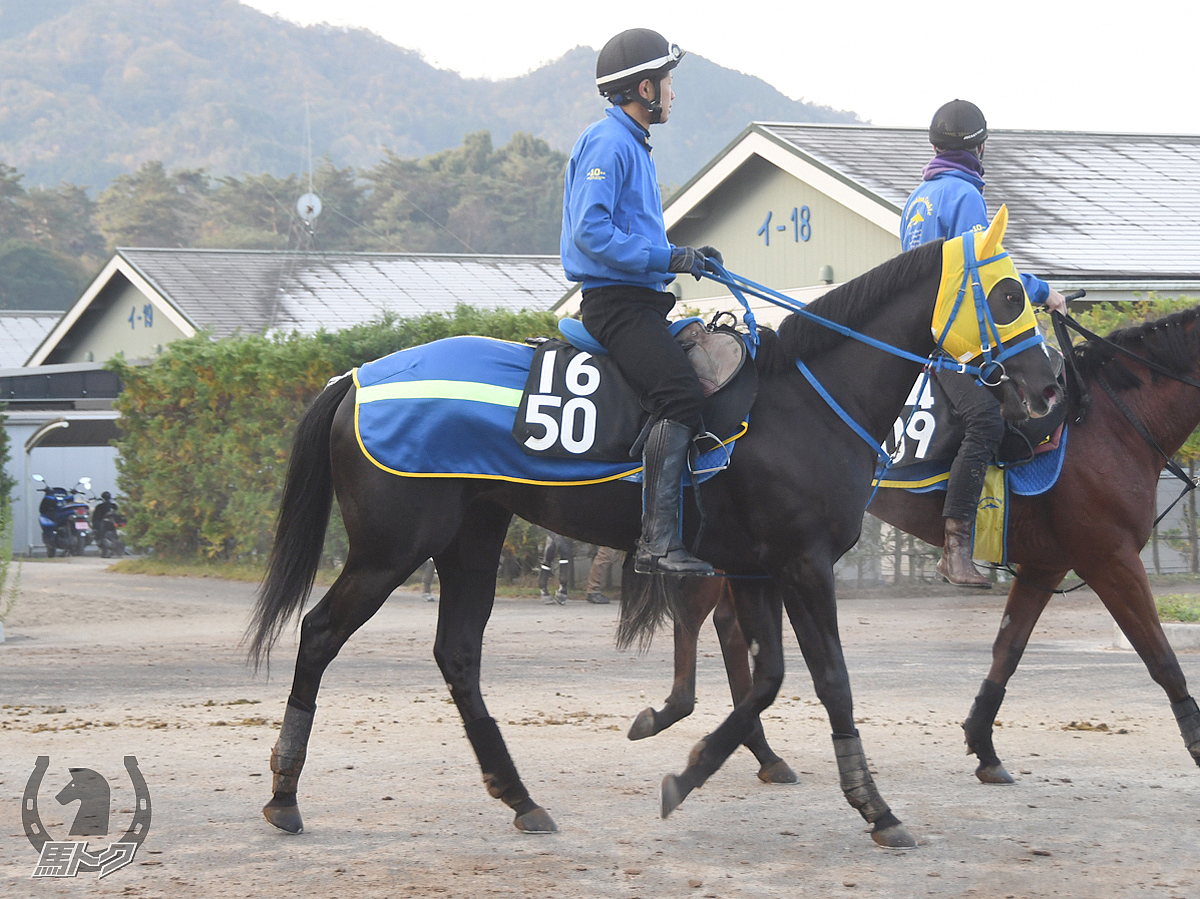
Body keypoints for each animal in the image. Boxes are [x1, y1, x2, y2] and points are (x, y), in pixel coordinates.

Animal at [246, 223, 1060, 849]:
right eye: (1009, 294)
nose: (1049, 387)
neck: (804, 400)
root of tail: (355, 375)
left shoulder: (759, 570)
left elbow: (766, 679)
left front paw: (690, 767)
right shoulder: (803, 565)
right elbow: (830, 681)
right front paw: (876, 808)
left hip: (471, 539)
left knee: (458, 655)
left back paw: (519, 796)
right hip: (393, 549)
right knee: (320, 633)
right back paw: (285, 794)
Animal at [638, 309, 1200, 787]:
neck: (1106, 421)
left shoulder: (1048, 563)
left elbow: (1008, 650)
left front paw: (984, 745)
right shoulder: (1109, 558)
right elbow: (1161, 659)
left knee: (728, 628)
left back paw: (761, 752)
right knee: (698, 619)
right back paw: (688, 720)